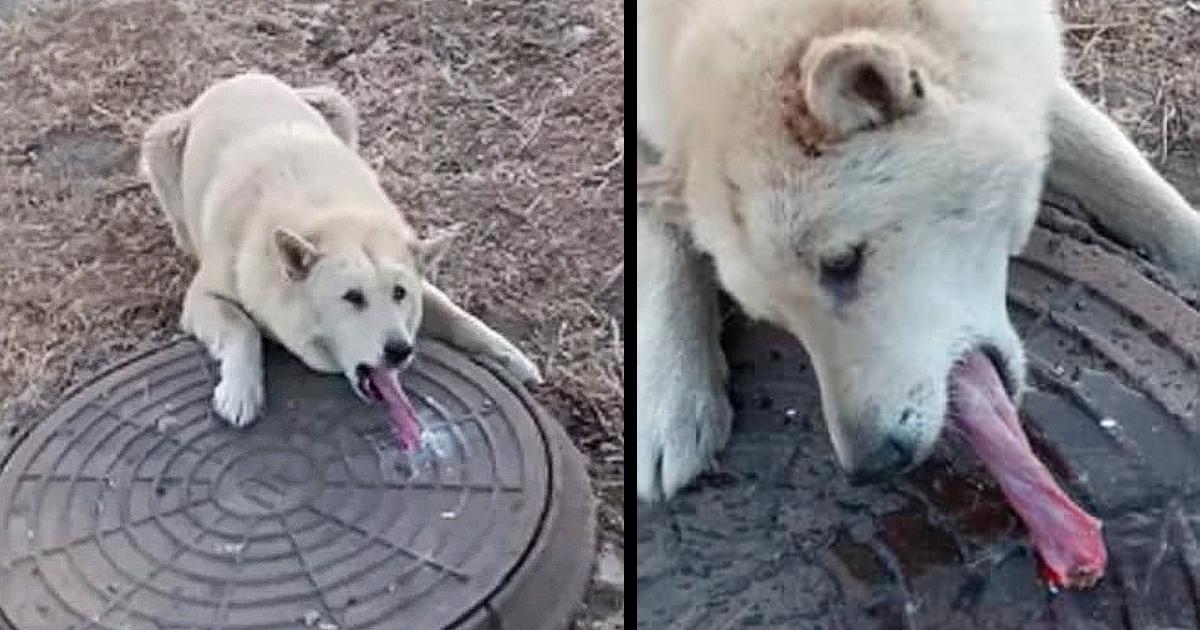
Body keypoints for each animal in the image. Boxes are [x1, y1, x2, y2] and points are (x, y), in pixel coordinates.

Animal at [137, 73, 544, 446]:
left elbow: (457, 315)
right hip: (160, 142)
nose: (400, 351)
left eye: (400, 294)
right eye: (352, 297)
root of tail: (238, 78)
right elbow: (243, 328)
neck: (327, 216)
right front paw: (240, 392)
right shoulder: (202, 297)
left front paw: (509, 357)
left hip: (338, 105)